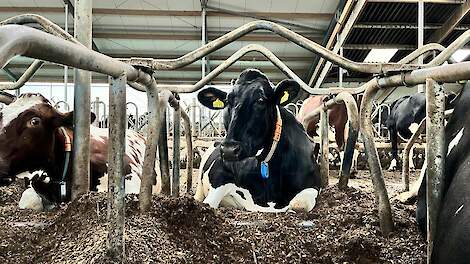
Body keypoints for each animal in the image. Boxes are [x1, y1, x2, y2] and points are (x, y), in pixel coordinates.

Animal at [193, 69, 322, 213]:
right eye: (227, 101)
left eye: (261, 100)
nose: (229, 150)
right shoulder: (219, 173)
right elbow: (209, 203)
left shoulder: (314, 185)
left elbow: (299, 203)